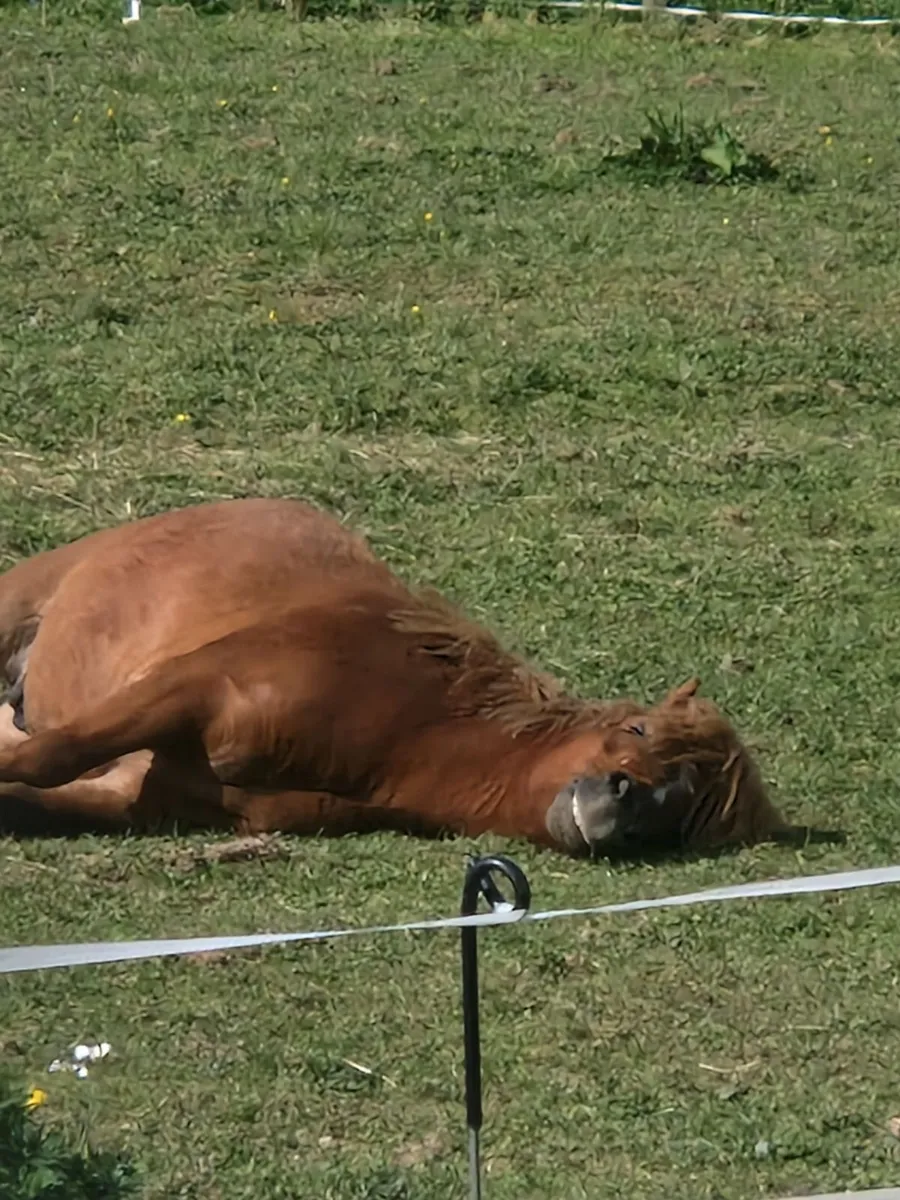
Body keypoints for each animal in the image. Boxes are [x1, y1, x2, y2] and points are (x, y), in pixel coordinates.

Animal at [0, 497, 811, 857]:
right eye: (636, 729)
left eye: (689, 805)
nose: (625, 798)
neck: (400, 731)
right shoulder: (188, 688)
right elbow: (48, 757)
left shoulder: (146, 793)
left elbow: (39, 794)